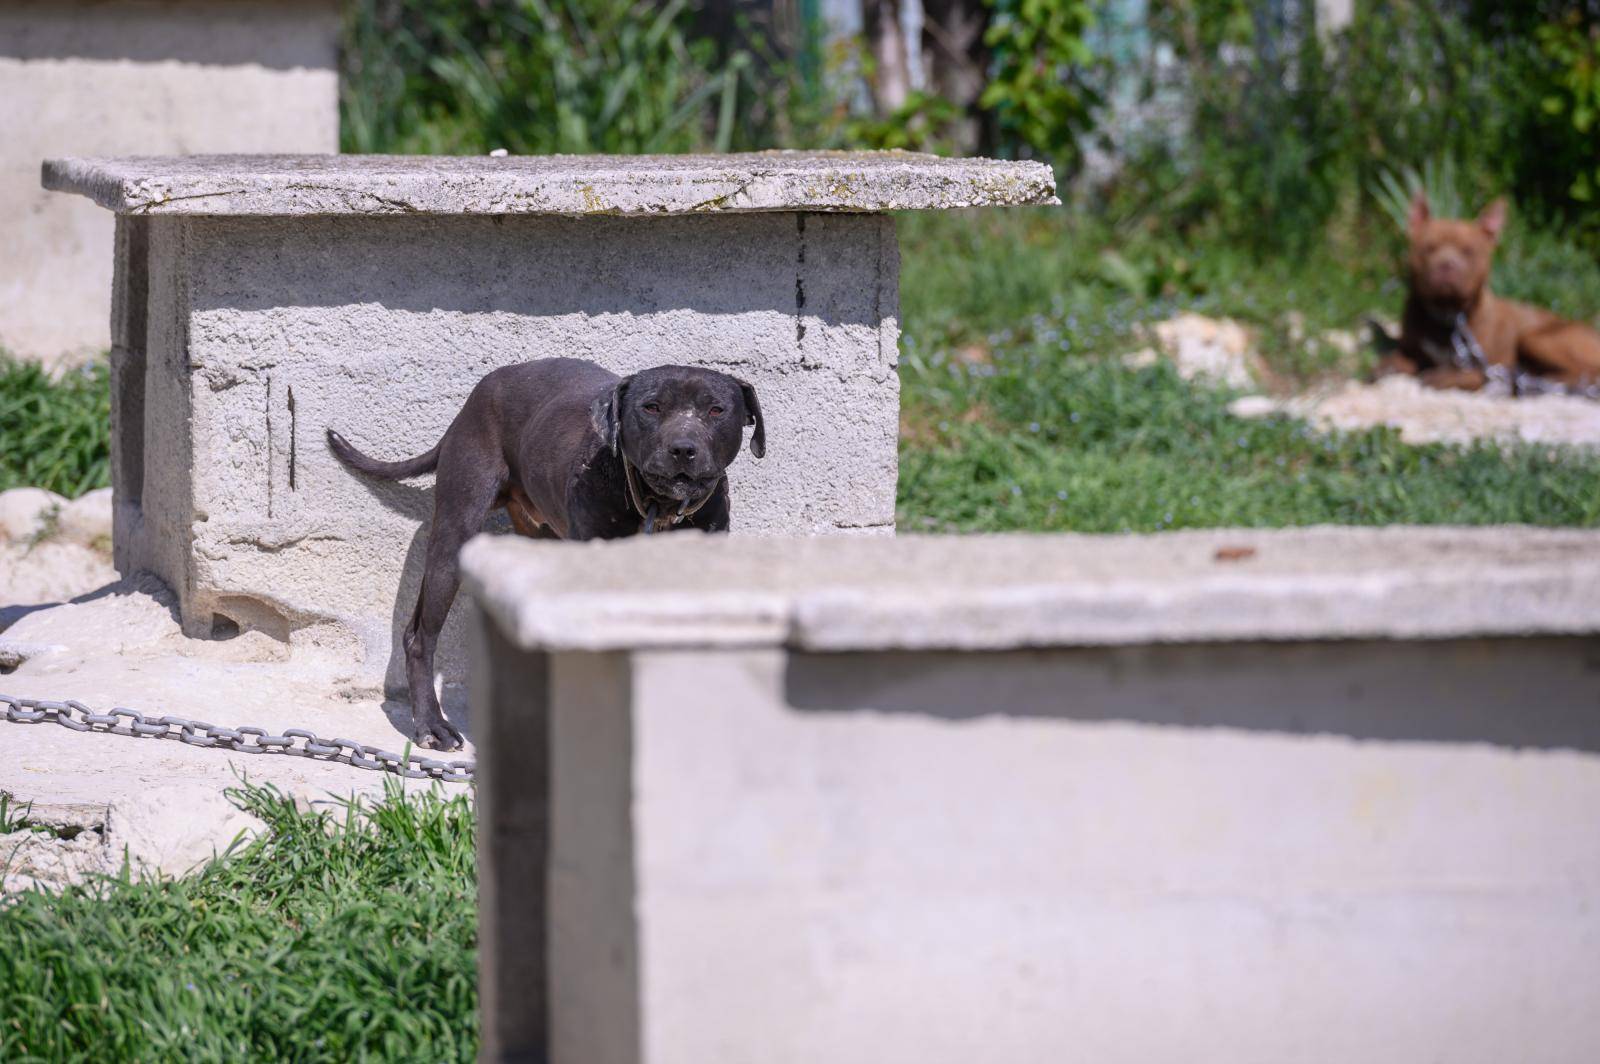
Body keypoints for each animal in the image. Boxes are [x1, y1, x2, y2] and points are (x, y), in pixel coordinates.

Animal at [324, 356, 761, 745]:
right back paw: (432, 725)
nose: (683, 448)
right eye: (651, 407)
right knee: (419, 635)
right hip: (454, 535)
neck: (659, 506)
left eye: (716, 409)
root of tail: (477, 394)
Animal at [1376, 192, 1600, 392]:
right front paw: (1388, 364)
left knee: (1587, 371)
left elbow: (1469, 373)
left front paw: (1443, 376)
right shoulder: (1412, 349)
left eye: (1468, 251)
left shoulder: (1488, 365)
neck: (1448, 316)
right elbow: (1399, 358)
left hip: (1534, 337)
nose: (1447, 265)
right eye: (1428, 248)